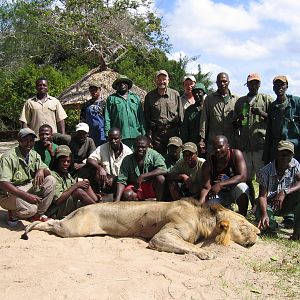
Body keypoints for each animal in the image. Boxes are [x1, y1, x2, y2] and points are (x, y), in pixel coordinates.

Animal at [21, 198, 260, 258]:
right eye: (244, 224)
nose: (258, 232)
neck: (201, 218)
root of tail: (79, 209)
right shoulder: (163, 236)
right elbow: (191, 247)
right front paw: (206, 253)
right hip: (74, 228)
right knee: (52, 223)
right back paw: (29, 228)